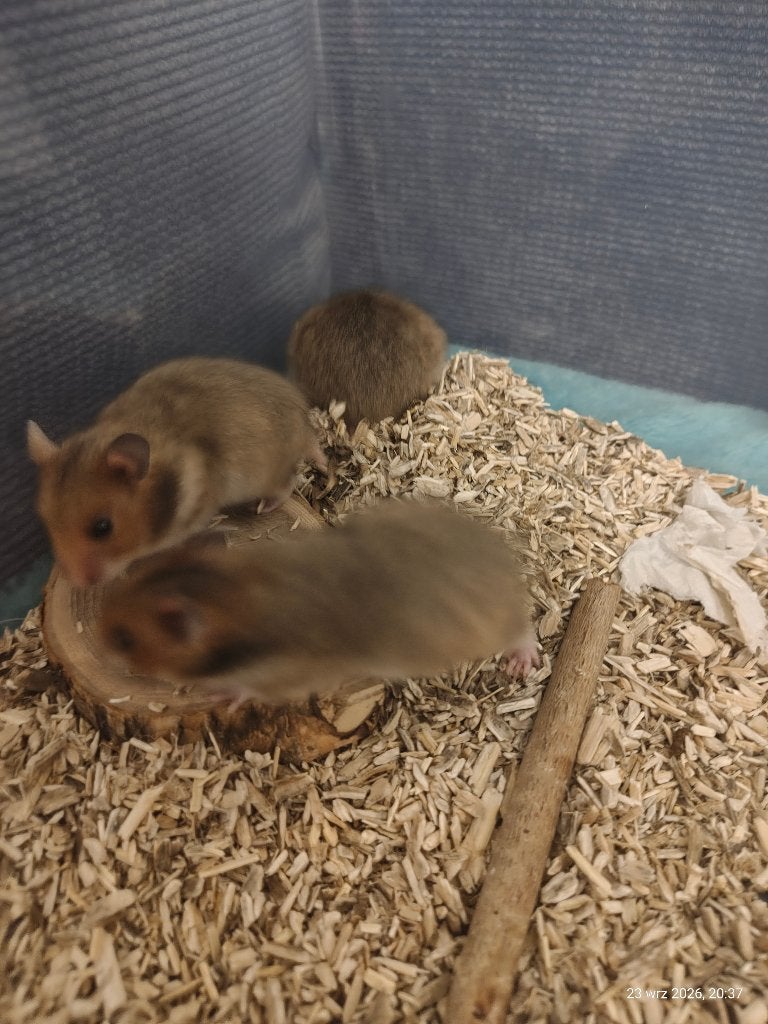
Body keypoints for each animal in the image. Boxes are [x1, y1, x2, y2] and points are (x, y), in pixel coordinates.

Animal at [27, 357, 326, 587]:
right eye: (46, 521)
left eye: (103, 527)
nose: (78, 583)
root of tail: (305, 423)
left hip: (268, 472)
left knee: (287, 483)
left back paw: (264, 506)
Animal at [99, 500, 540, 703]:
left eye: (124, 639)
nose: (101, 633)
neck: (236, 593)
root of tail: (503, 560)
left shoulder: (287, 676)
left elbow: (247, 689)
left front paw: (220, 695)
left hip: (489, 628)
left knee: (523, 628)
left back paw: (521, 662)